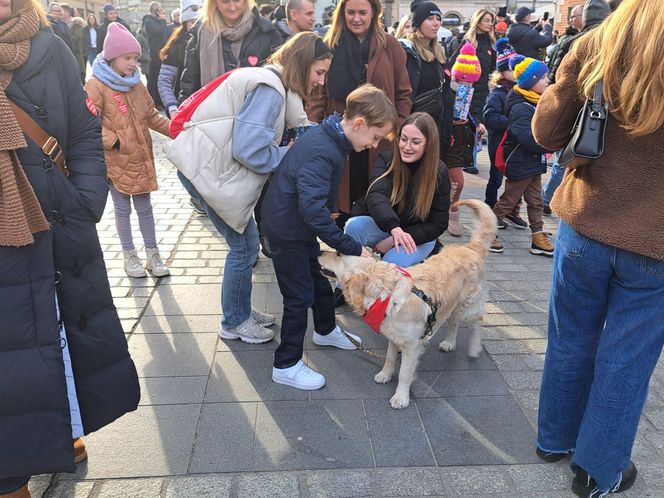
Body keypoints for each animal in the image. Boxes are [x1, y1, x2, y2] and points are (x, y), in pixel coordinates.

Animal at [320, 199, 496, 408]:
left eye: (339, 253)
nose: (319, 250)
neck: (385, 294)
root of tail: (470, 247)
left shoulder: (411, 345)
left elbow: (405, 373)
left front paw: (401, 397)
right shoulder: (394, 336)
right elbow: (389, 358)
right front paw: (385, 374)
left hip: (468, 304)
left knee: (478, 320)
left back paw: (475, 348)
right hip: (453, 305)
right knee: (453, 323)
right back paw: (448, 342)